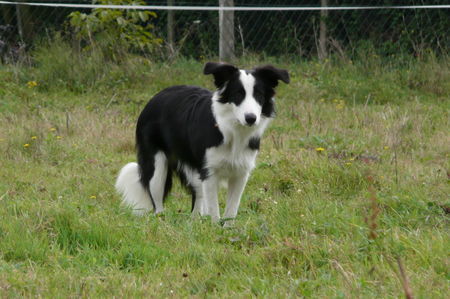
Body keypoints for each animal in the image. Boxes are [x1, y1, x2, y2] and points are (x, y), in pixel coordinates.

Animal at [115, 62, 288, 223]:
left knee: (197, 194)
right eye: (238, 94)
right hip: (157, 166)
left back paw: (195, 220)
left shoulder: (240, 172)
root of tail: (155, 97)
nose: (251, 118)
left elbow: (231, 209)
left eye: (259, 95)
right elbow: (214, 209)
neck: (232, 131)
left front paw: (227, 229)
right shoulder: (209, 171)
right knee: (157, 201)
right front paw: (215, 228)